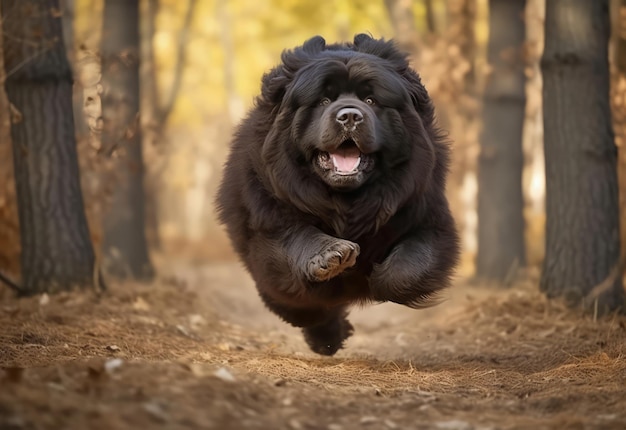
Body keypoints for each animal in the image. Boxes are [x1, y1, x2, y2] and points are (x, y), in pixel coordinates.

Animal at [216, 34, 458, 356]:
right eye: (323, 101)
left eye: (371, 100)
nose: (350, 116)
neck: (346, 205)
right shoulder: (268, 224)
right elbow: (295, 241)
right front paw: (332, 255)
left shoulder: (427, 215)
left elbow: (411, 264)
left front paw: (376, 278)